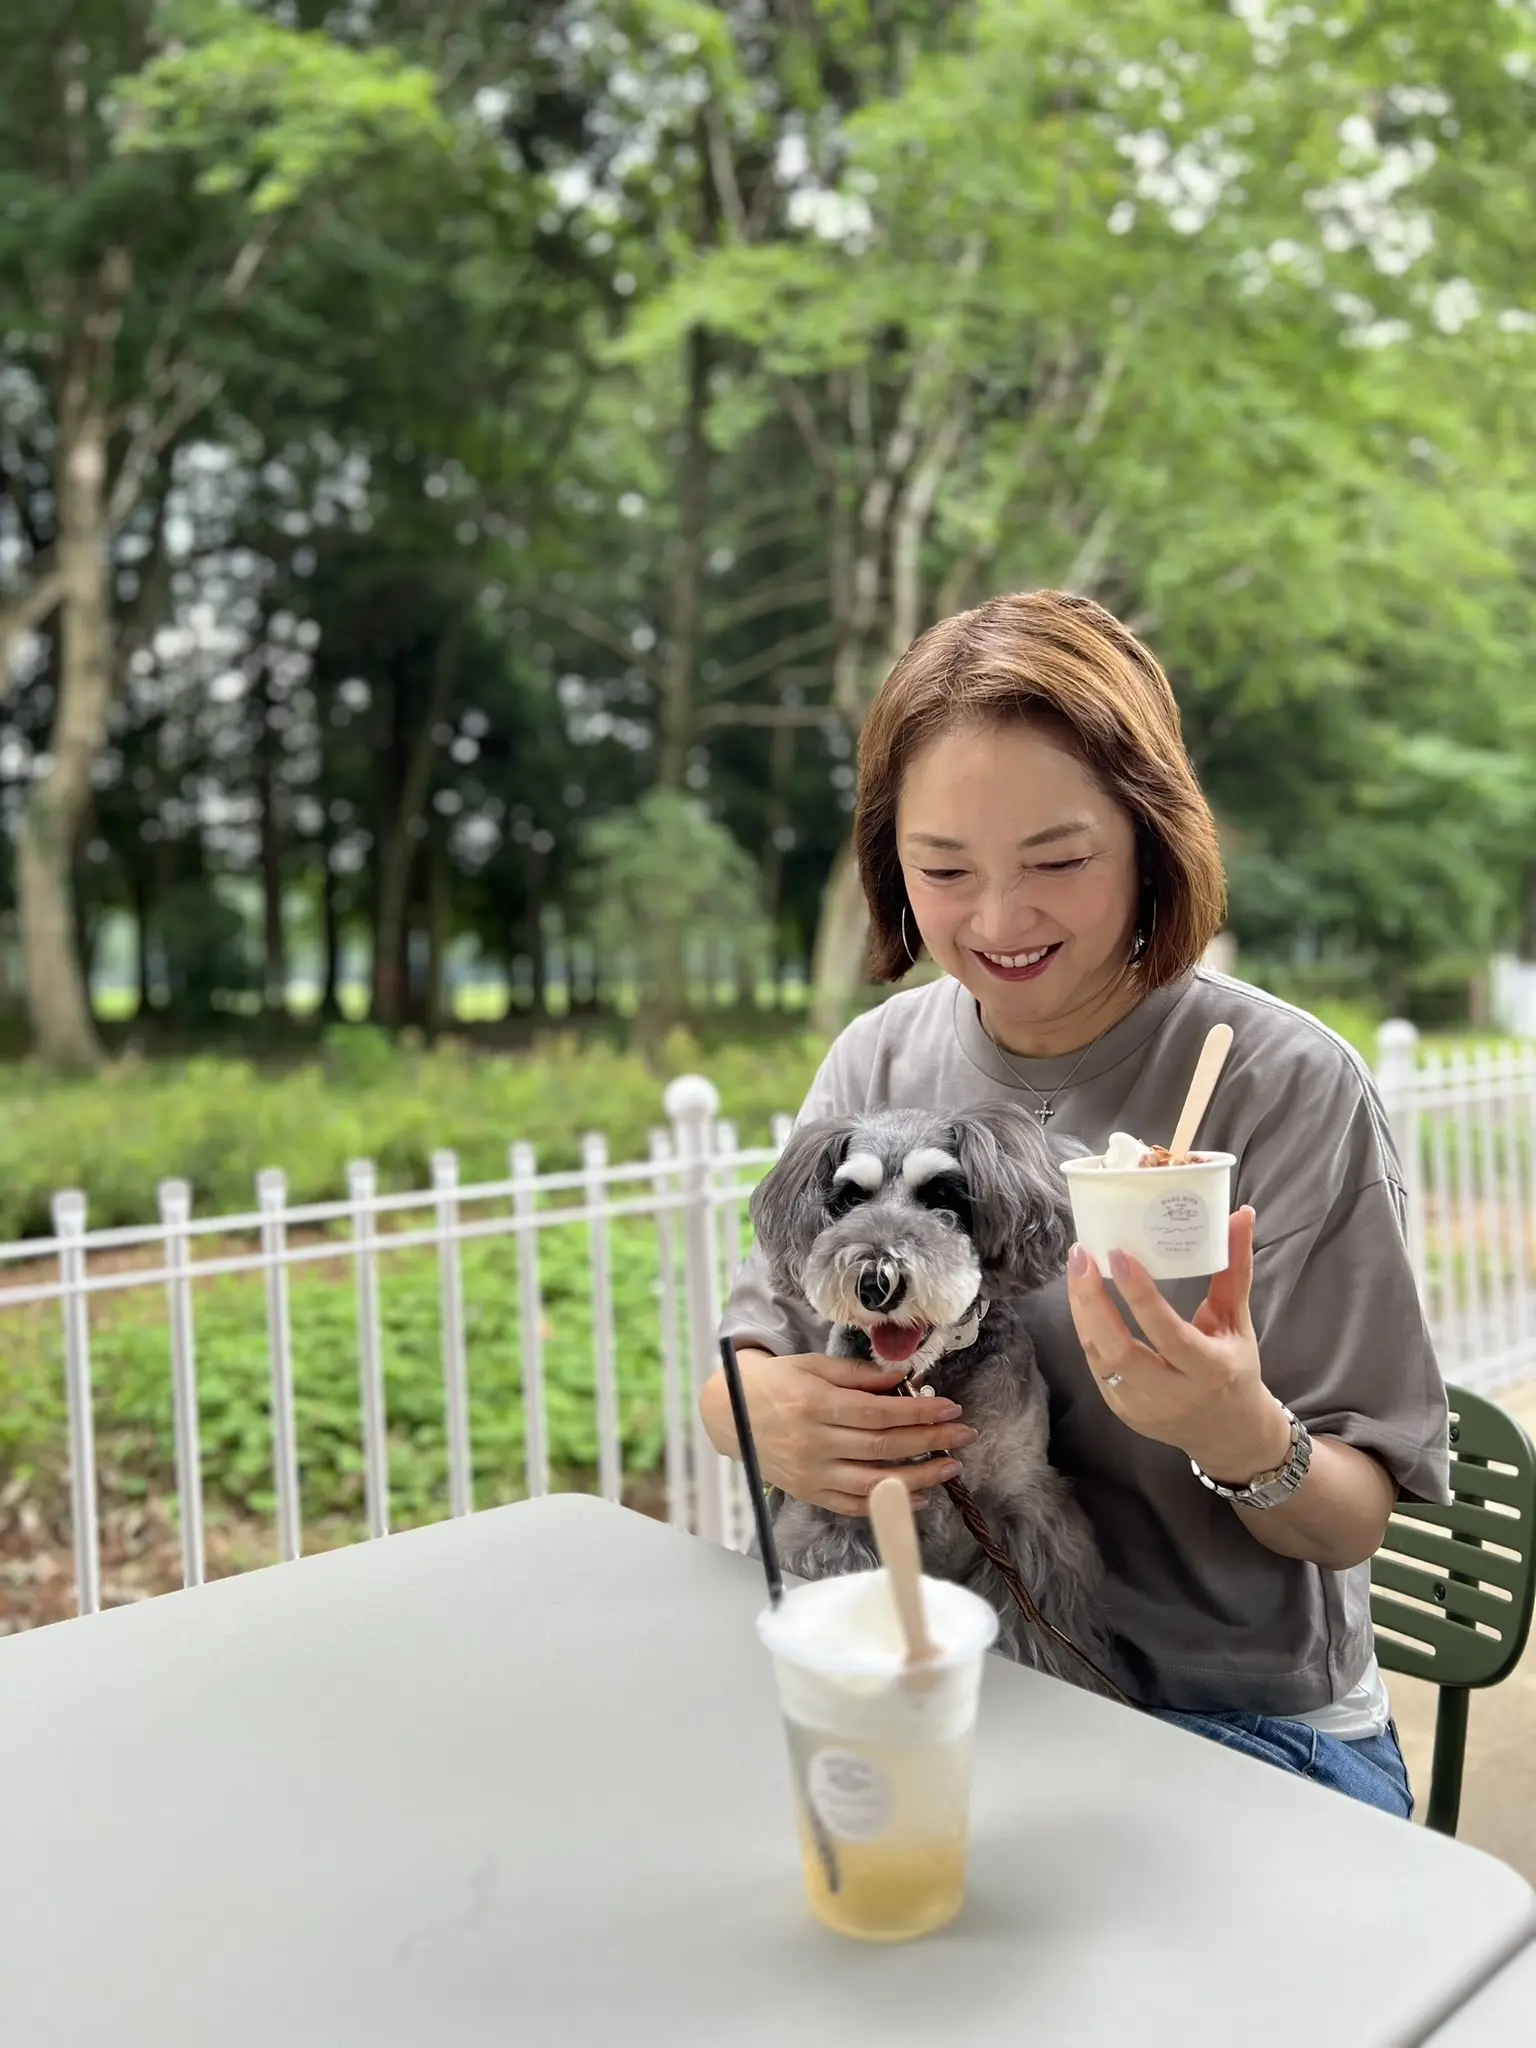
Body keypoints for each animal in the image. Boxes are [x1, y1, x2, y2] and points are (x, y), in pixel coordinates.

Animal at [749, 1105, 1122, 1695]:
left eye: (943, 1195)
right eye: (849, 1198)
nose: (875, 1283)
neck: (925, 1376)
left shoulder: (1023, 1517)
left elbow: (1037, 1637)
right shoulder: (837, 1519)